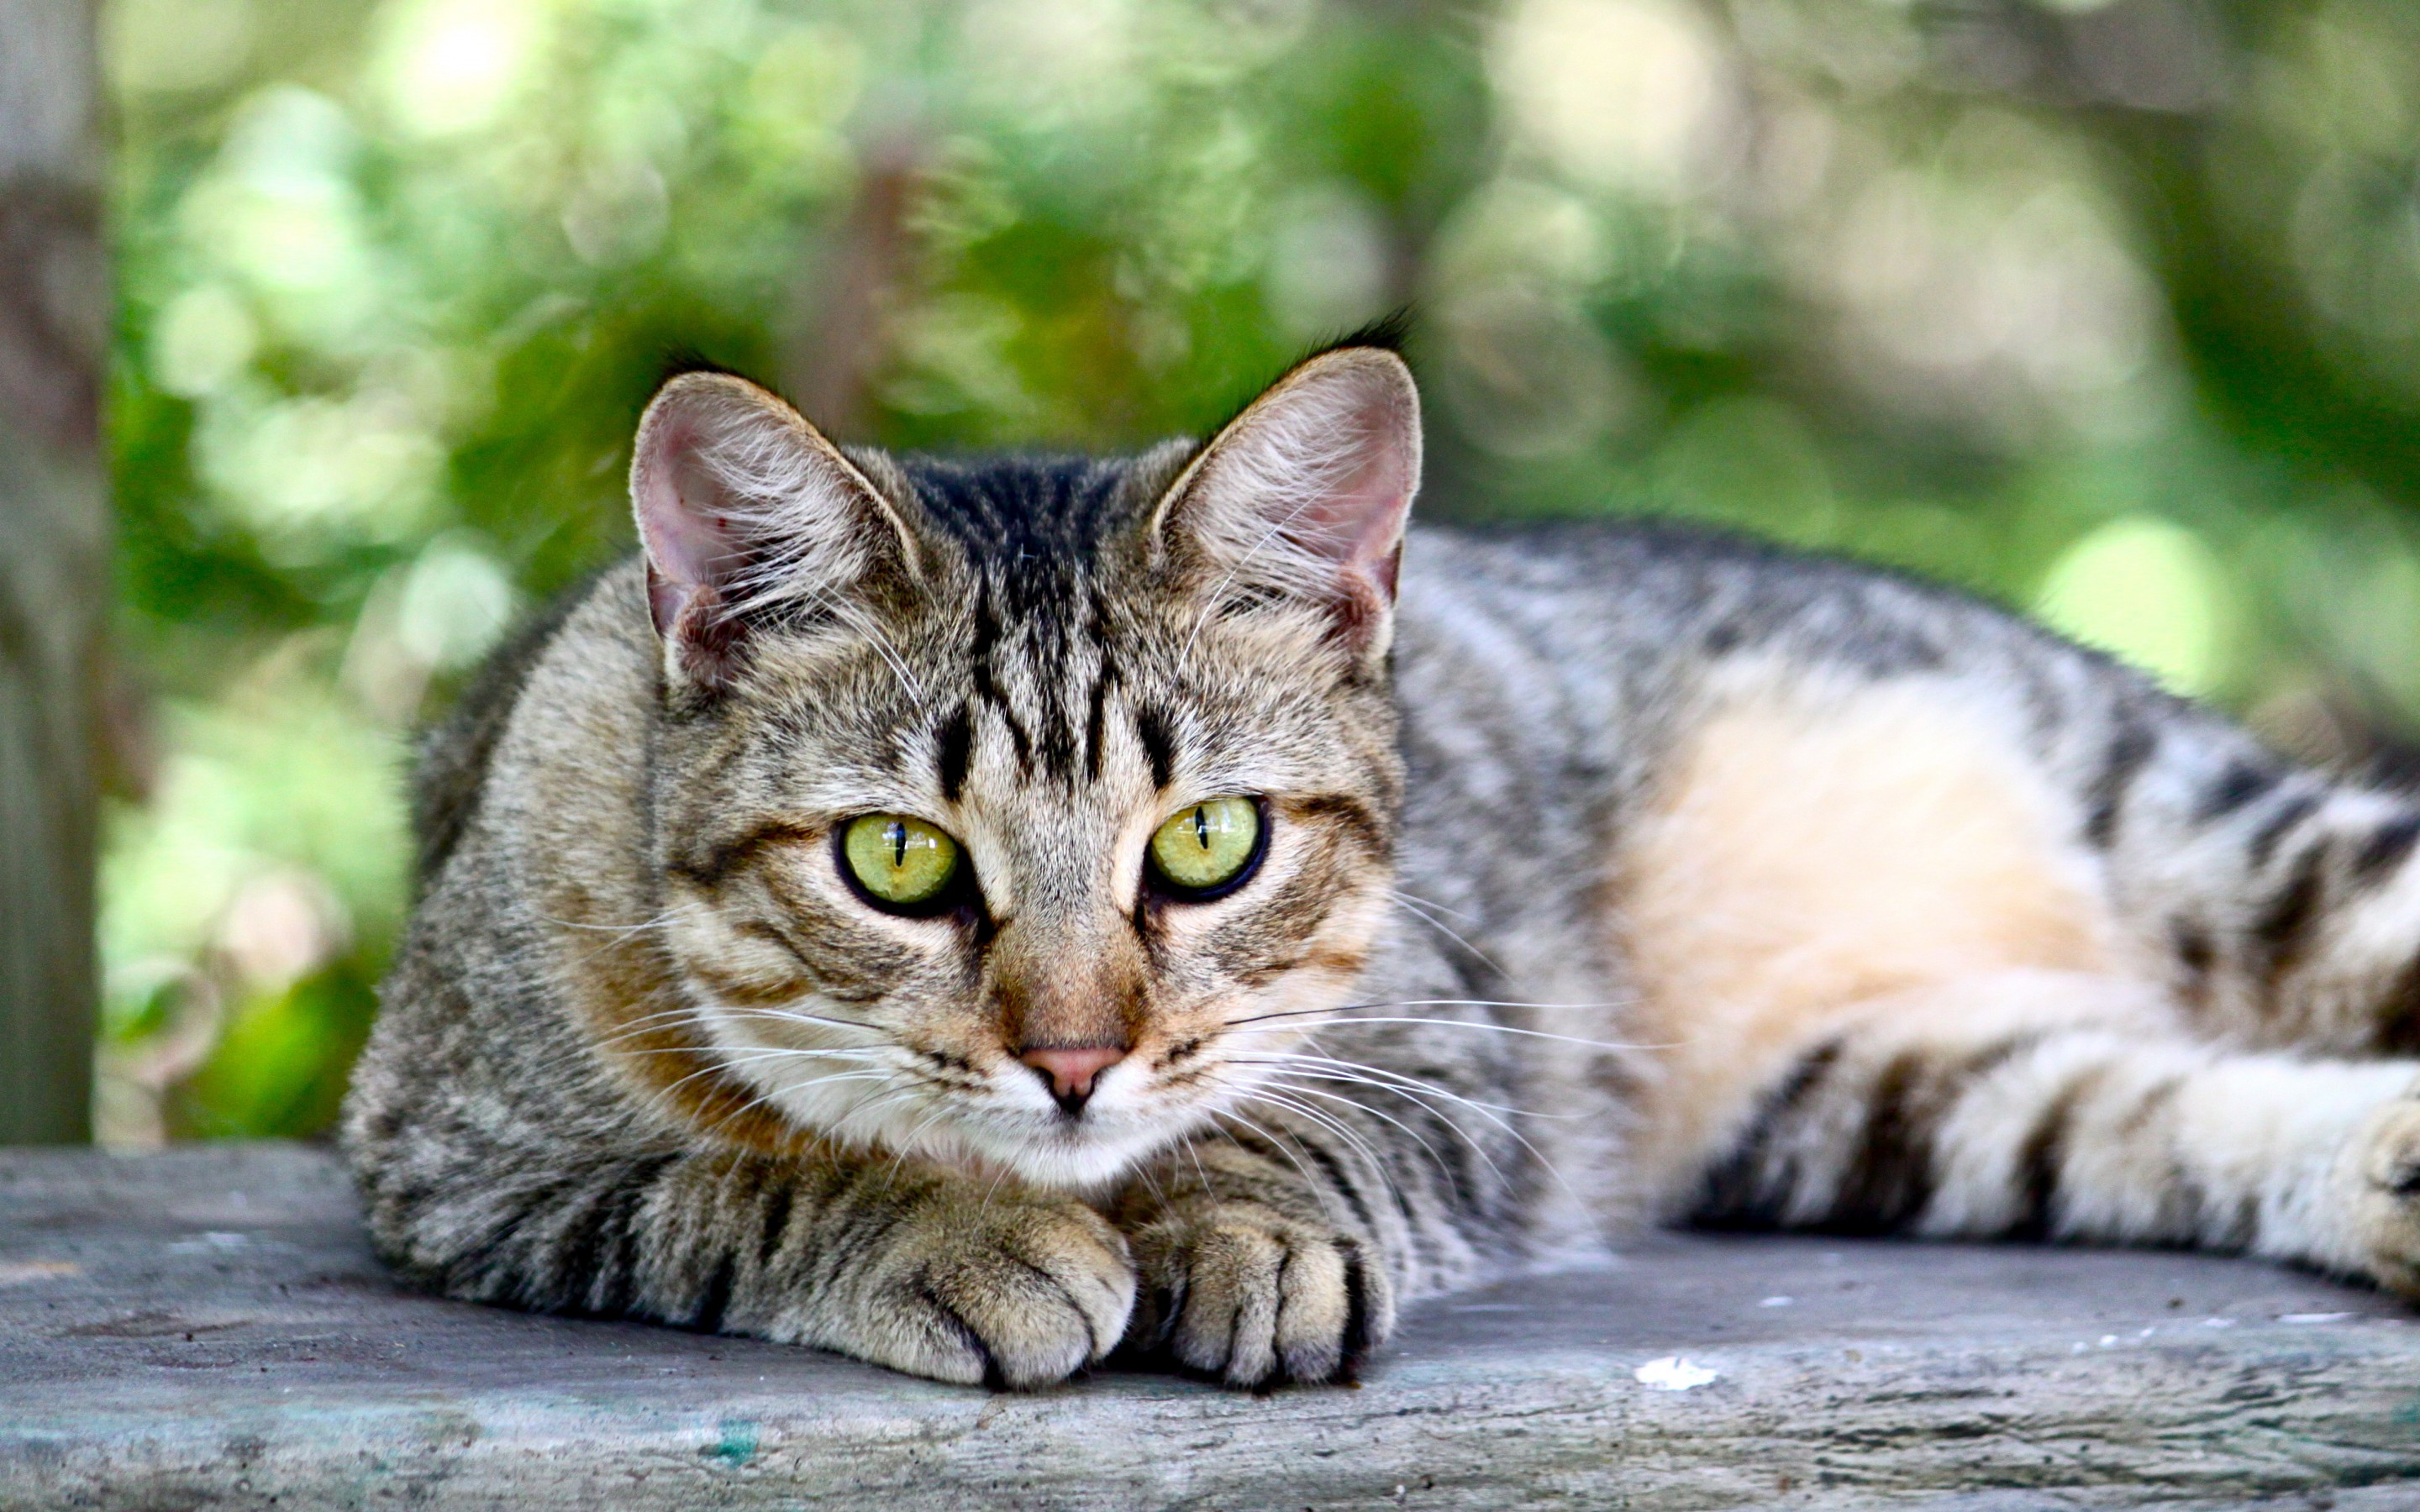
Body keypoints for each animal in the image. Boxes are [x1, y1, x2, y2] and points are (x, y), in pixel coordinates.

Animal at [345, 336, 2420, 1383]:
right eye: (899, 863)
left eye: (1209, 842)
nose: (1075, 1060)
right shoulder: (456, 1160)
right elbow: (731, 1184)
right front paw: (958, 1233)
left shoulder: (1453, 1032)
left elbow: (1307, 1127)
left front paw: (1244, 1227)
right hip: (1892, 1094)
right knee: (2149, 1101)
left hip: (2214, 835)